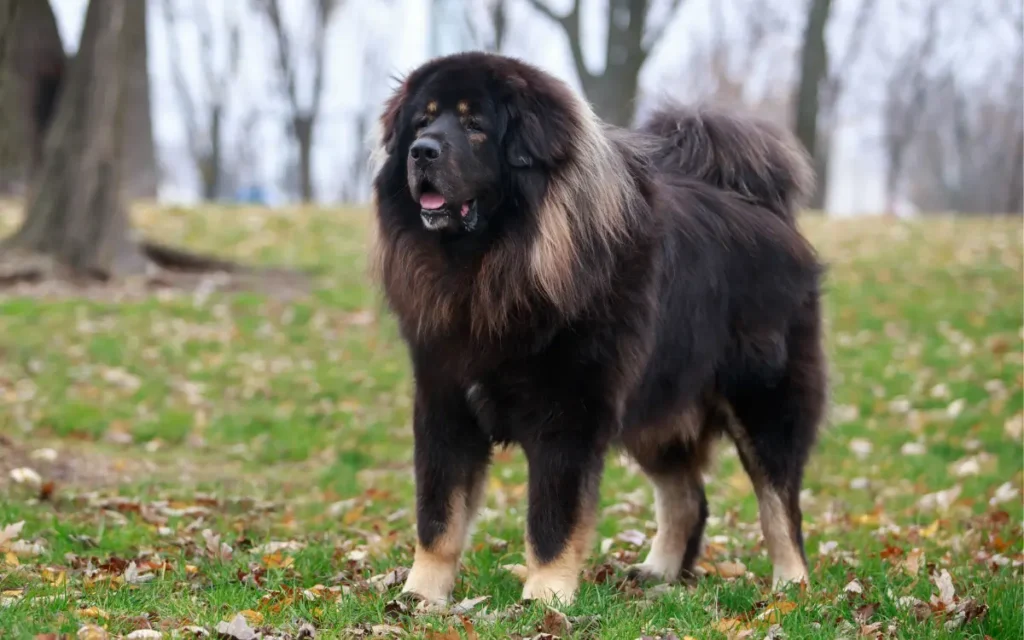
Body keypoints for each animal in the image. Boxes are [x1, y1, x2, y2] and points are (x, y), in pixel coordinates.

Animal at [372, 52, 827, 606]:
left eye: (475, 125)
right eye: (423, 122)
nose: (422, 151)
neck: (489, 268)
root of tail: (766, 211)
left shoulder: (568, 415)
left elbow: (552, 521)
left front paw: (544, 597)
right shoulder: (445, 405)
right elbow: (438, 516)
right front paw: (419, 596)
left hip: (763, 406)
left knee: (780, 505)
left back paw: (791, 587)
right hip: (657, 411)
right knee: (687, 498)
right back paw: (658, 573)